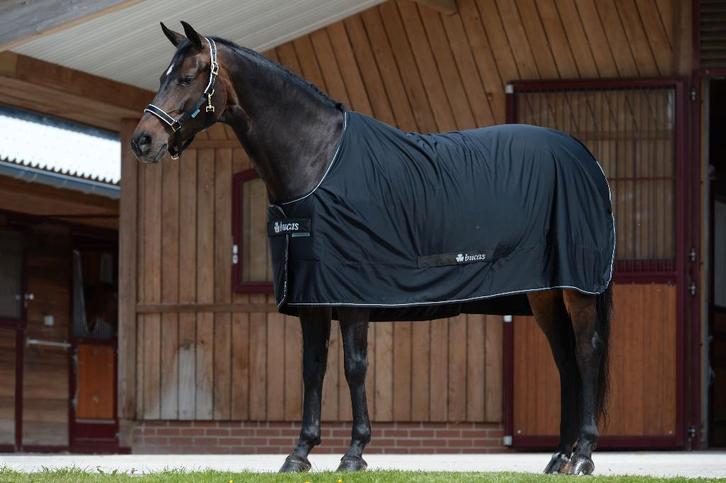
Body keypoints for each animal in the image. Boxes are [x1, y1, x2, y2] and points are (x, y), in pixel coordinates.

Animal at [131, 22, 613, 476]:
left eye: (188, 77)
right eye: (162, 76)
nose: (143, 141)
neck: (317, 159)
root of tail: (585, 157)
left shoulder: (353, 293)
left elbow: (354, 365)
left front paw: (355, 452)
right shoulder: (312, 294)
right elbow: (312, 368)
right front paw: (299, 453)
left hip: (577, 290)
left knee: (586, 355)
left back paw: (583, 457)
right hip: (543, 295)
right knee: (565, 362)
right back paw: (559, 458)